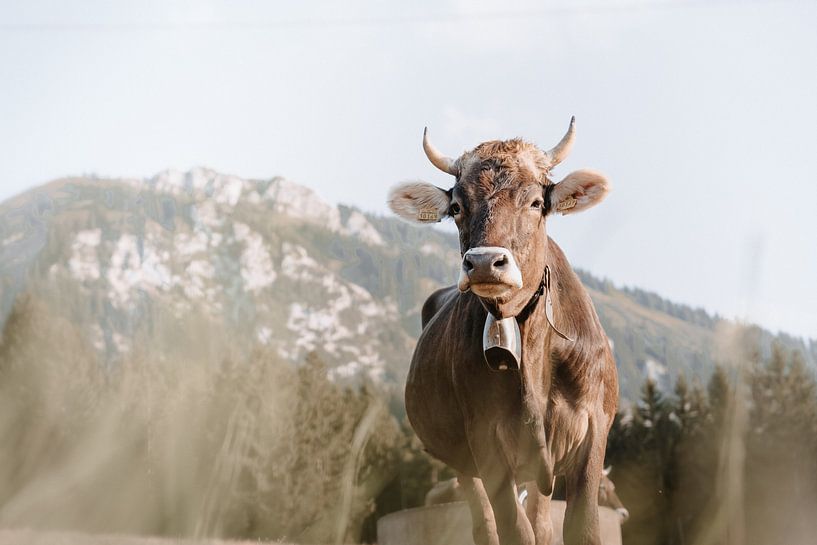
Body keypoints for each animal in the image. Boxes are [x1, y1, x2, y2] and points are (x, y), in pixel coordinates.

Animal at [387, 118, 618, 545]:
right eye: (457, 207)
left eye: (536, 203)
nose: (483, 262)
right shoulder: (486, 443)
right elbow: (514, 529)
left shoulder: (593, 430)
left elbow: (581, 529)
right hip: (465, 462)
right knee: (486, 523)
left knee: (542, 522)